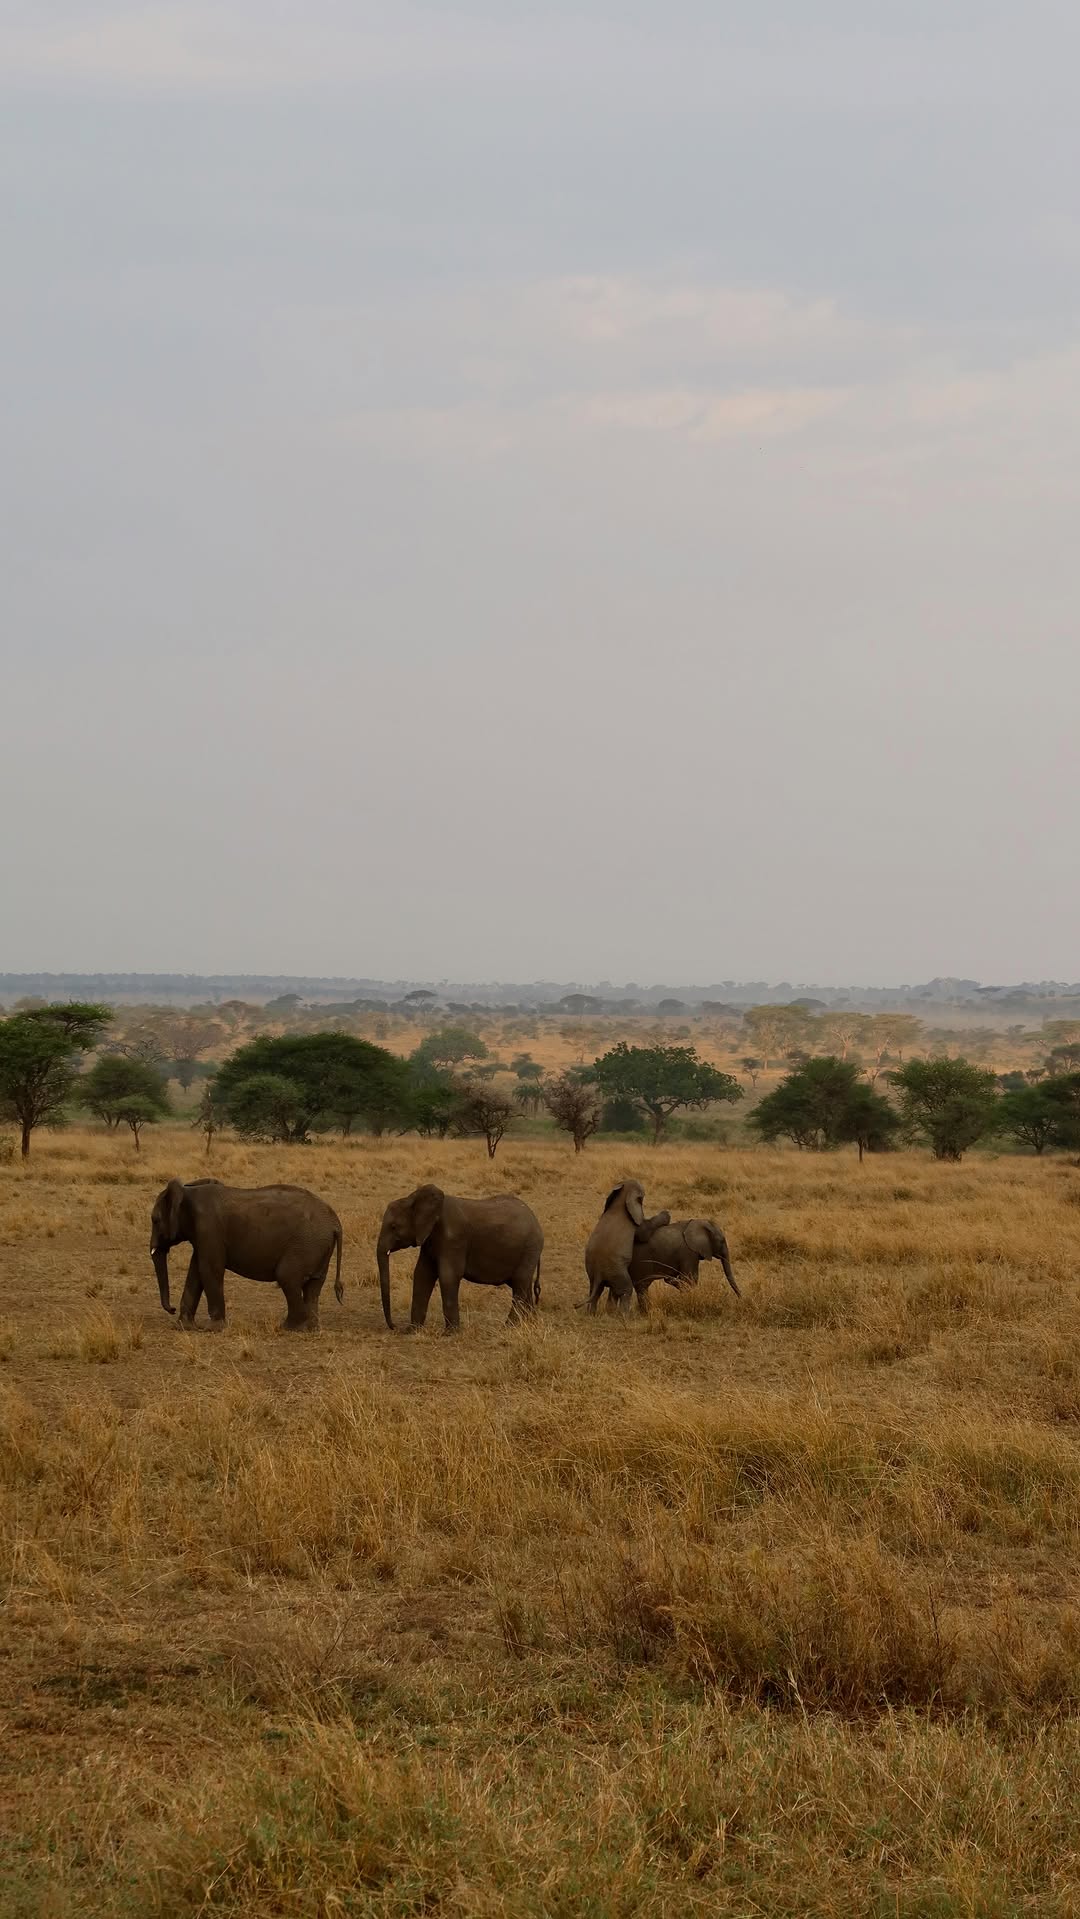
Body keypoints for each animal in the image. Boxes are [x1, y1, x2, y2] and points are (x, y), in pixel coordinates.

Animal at [150, 1178, 343, 1332]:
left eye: (155, 1220)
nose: (171, 1309)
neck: (188, 1192)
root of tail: (335, 1222)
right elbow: (196, 1272)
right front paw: (183, 1327)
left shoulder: (209, 1229)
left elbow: (209, 1270)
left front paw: (212, 1329)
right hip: (317, 1247)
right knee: (313, 1286)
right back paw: (310, 1328)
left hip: (306, 1244)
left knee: (287, 1277)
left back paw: (289, 1328)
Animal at [376, 1184, 543, 1333]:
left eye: (393, 1226)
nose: (395, 1327)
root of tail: (535, 1220)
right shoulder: (428, 1240)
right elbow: (422, 1275)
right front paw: (412, 1331)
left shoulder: (453, 1238)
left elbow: (448, 1276)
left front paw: (450, 1333)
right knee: (523, 1285)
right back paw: (529, 1325)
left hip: (530, 1248)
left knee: (520, 1285)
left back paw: (507, 1328)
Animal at [582, 1180, 670, 1316]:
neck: (621, 1199)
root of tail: (598, 1274)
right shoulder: (634, 1221)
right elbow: (643, 1233)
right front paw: (666, 1215)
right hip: (616, 1270)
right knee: (626, 1290)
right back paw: (625, 1315)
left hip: (591, 1271)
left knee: (595, 1291)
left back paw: (591, 1314)